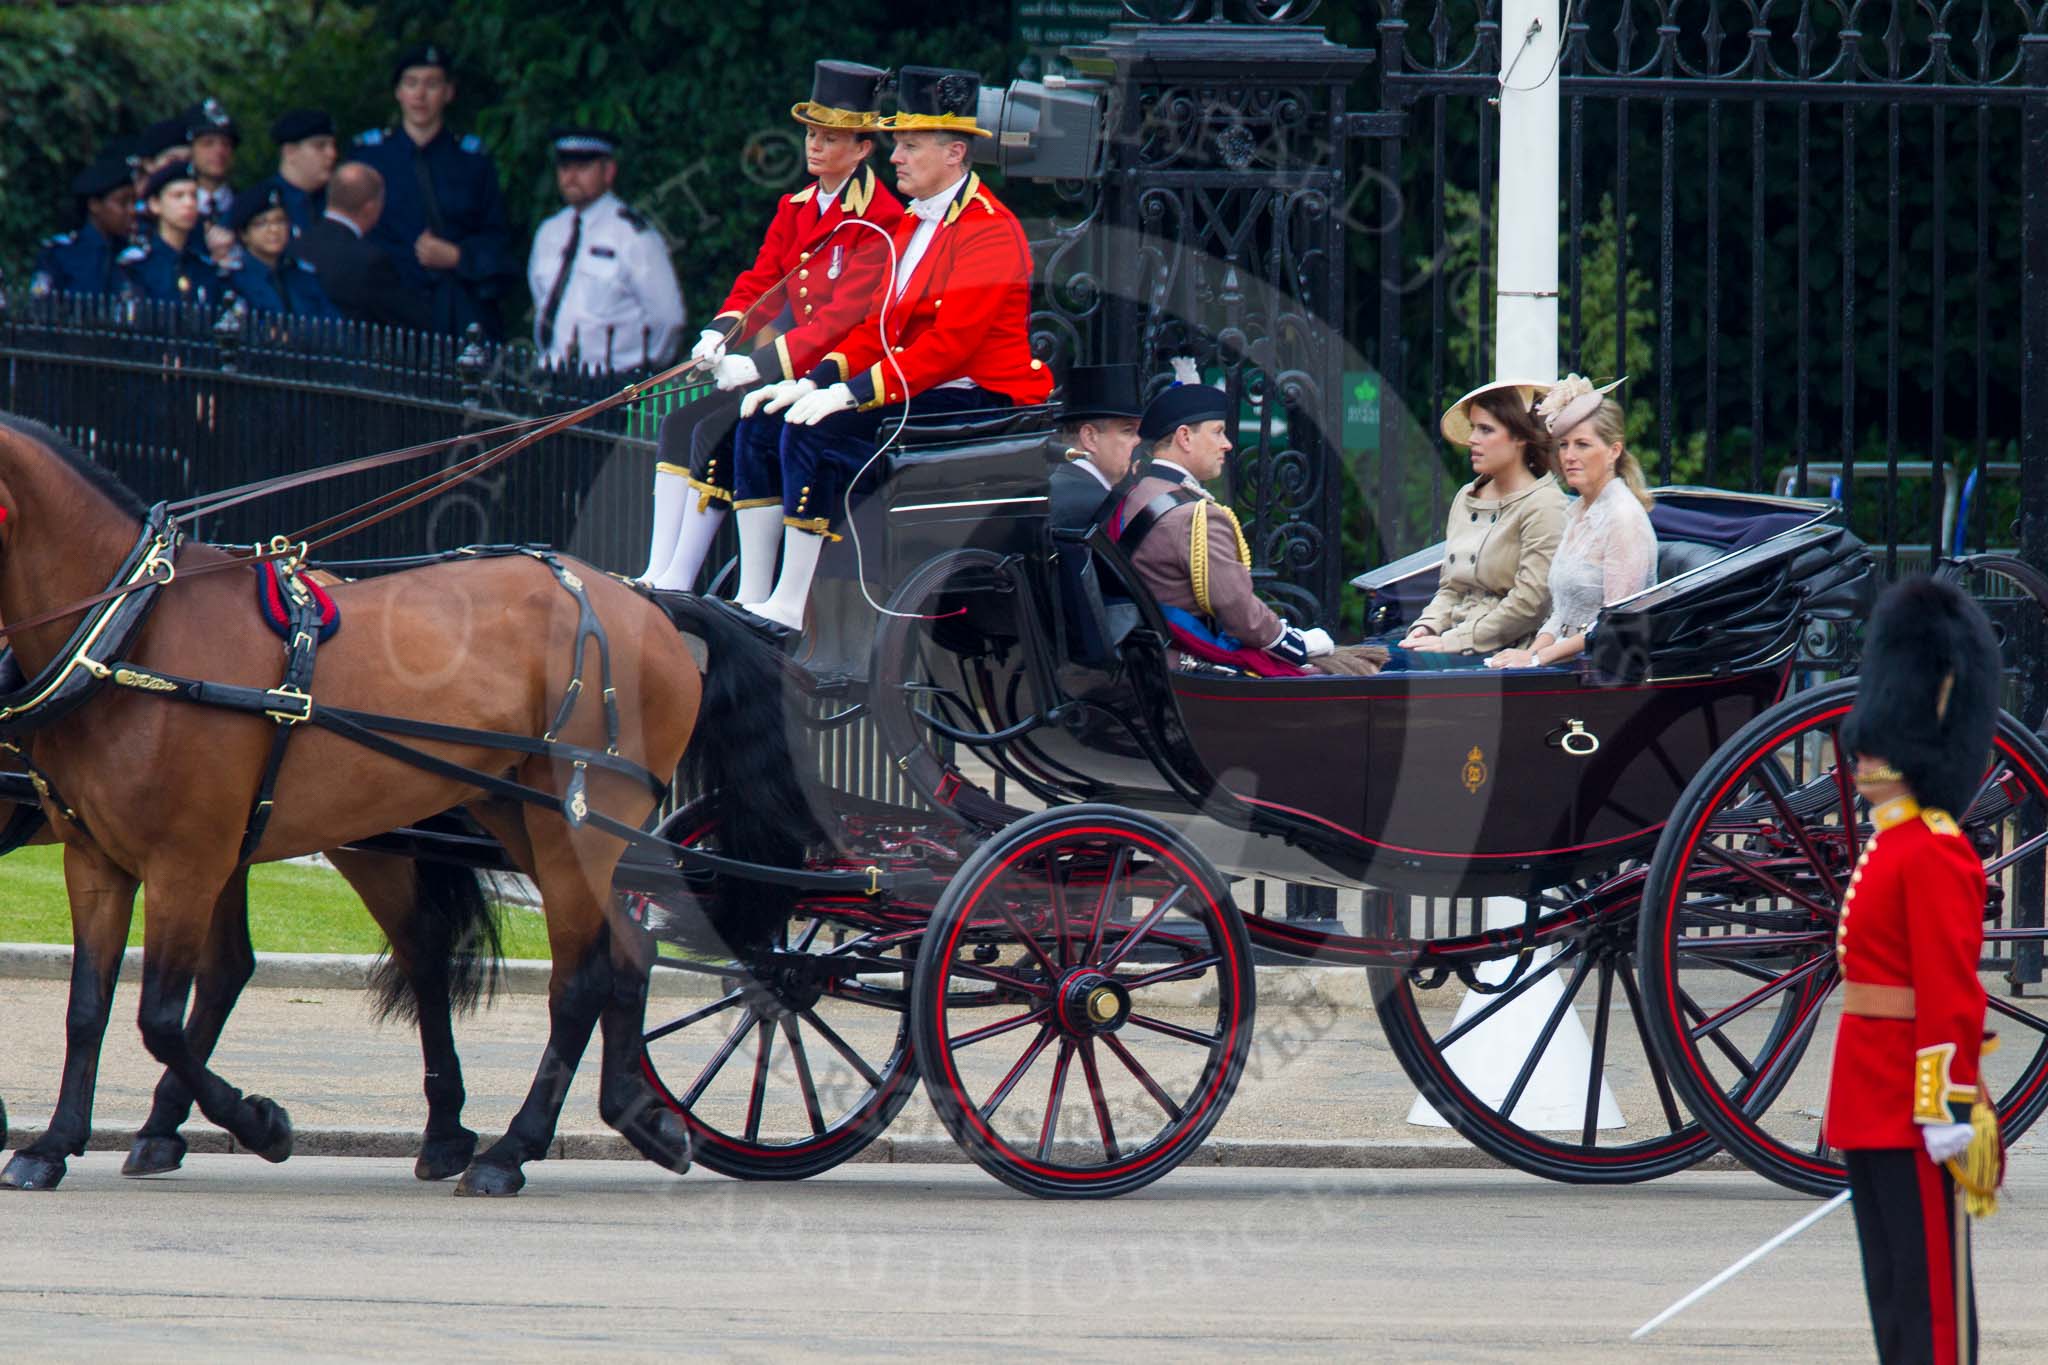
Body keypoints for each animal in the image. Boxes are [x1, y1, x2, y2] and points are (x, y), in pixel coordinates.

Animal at [0, 417, 811, 1195]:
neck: (133, 630)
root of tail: (644, 604)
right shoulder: (98, 858)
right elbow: (88, 1008)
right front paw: (51, 1144)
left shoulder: (187, 861)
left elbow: (158, 1018)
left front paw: (261, 1122)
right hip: (514, 817)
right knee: (621, 952)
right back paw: (631, 1118)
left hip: (562, 824)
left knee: (578, 979)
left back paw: (510, 1149)